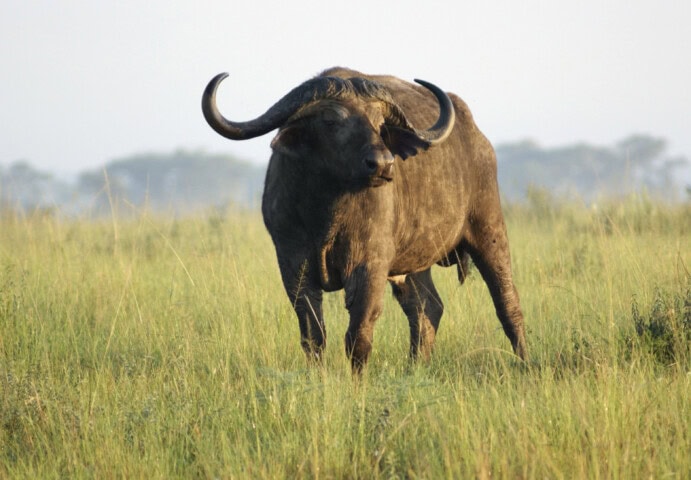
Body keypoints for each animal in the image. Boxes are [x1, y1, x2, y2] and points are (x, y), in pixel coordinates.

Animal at [202, 67, 527, 373]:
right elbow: (313, 334)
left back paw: (524, 361)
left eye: (380, 123)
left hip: (489, 228)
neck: (326, 212)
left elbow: (358, 335)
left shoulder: (369, 264)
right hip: (413, 262)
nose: (383, 164)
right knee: (426, 308)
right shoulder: (292, 264)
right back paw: (415, 367)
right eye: (331, 121)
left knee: (507, 303)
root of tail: (477, 138)